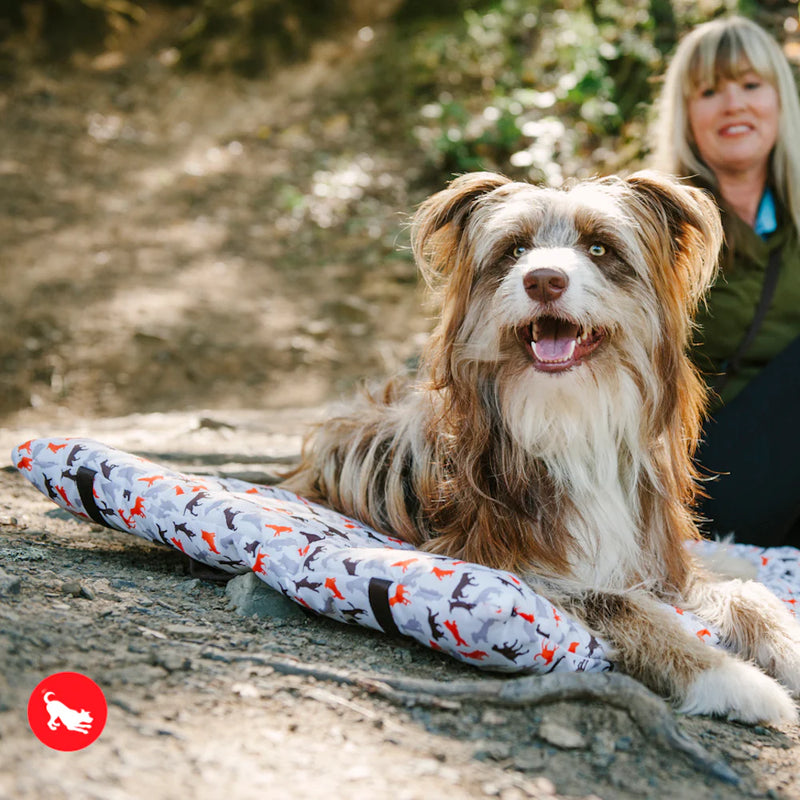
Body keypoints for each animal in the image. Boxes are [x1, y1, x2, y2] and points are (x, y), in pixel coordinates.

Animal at [284, 170, 800, 724]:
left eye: (599, 248)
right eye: (515, 250)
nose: (544, 280)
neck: (569, 414)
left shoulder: (651, 555)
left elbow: (746, 595)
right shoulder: (504, 560)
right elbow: (623, 604)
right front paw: (727, 677)